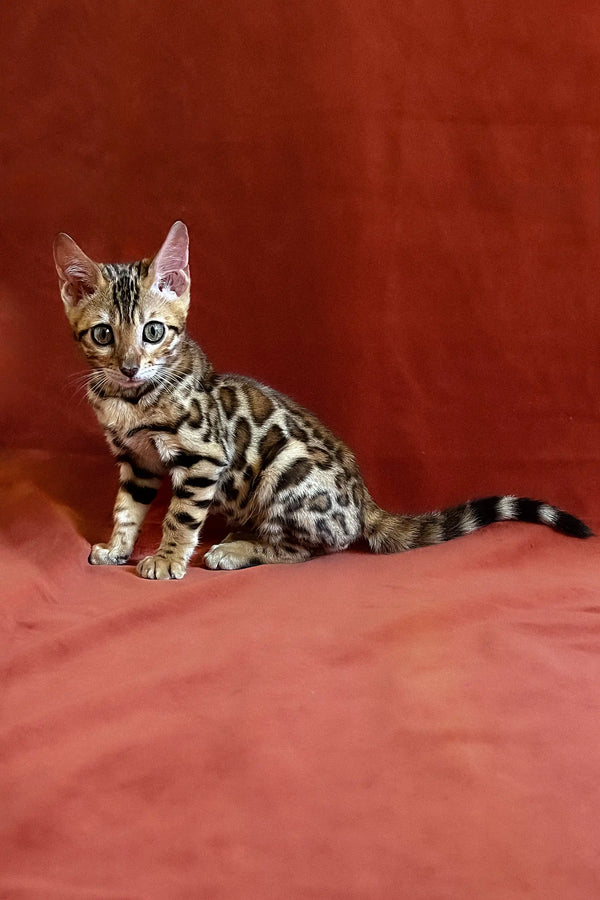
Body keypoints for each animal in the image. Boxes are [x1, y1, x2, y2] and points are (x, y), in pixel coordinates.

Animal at [52, 221, 592, 580]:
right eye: (103, 334)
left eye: (153, 331)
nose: (129, 366)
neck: (130, 398)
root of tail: (366, 502)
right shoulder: (136, 460)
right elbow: (127, 507)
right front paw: (117, 547)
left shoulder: (204, 455)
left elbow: (180, 516)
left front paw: (166, 557)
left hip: (287, 470)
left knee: (311, 548)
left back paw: (237, 550)